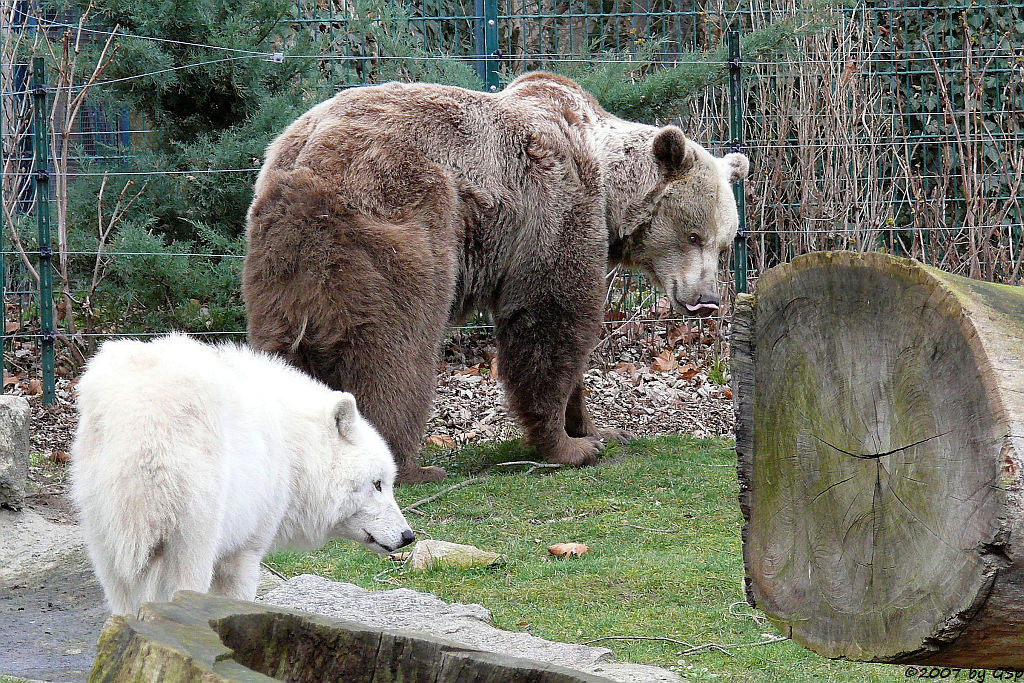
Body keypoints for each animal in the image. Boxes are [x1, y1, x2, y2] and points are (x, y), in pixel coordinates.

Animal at [69, 333, 415, 618]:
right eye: (378, 484)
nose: (408, 536)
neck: (293, 446)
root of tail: (142, 418)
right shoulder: (245, 547)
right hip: (194, 530)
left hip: (106, 535)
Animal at [243, 72, 749, 483]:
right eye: (694, 235)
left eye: (725, 244)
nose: (706, 299)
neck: (608, 192)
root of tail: (305, 156)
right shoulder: (556, 211)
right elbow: (550, 323)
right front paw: (569, 446)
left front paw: (601, 429)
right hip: (396, 216)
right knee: (394, 347)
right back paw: (413, 465)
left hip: (285, 261)